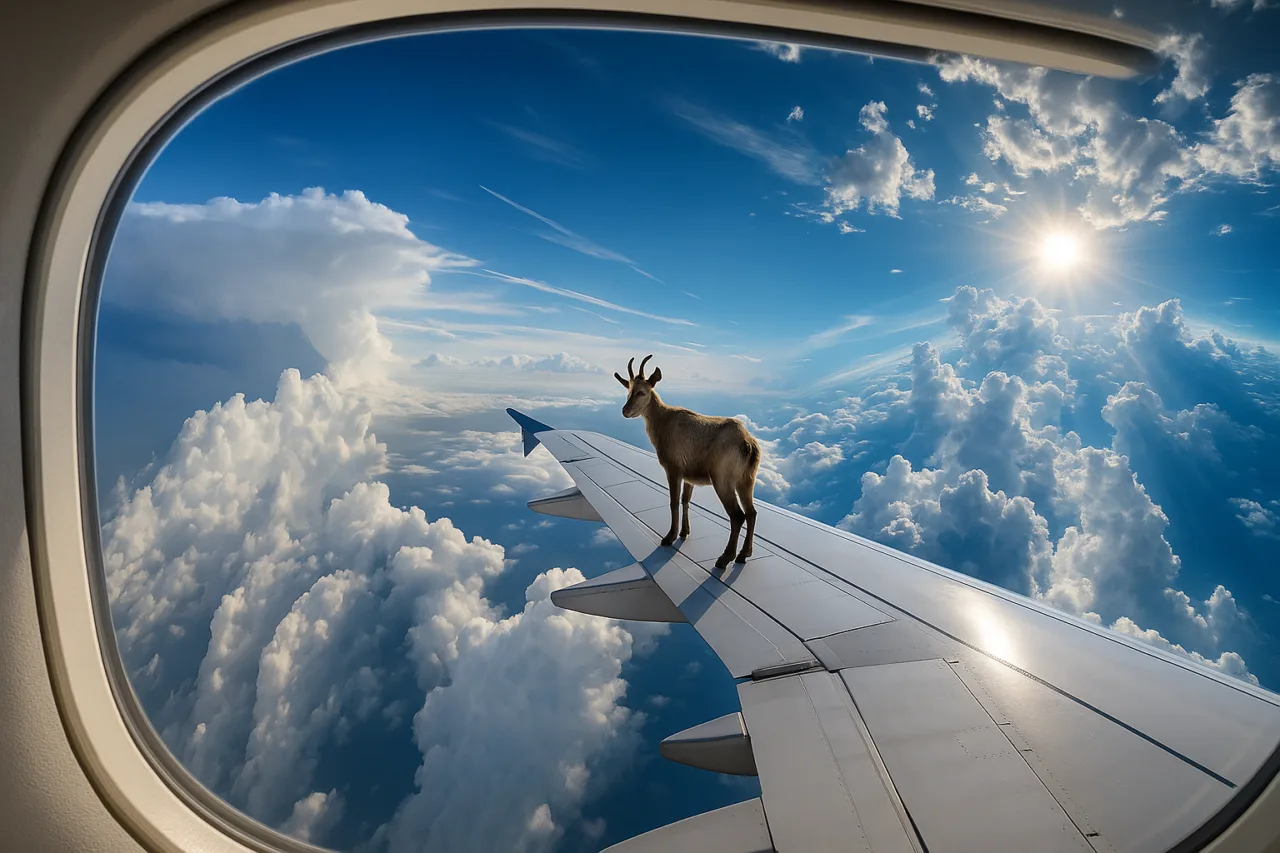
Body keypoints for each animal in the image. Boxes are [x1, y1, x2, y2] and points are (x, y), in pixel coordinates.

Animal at [615, 354, 762, 569]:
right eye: (628, 391)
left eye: (642, 392)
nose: (625, 411)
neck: (663, 422)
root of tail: (748, 444)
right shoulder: (689, 475)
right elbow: (686, 500)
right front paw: (684, 532)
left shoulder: (673, 468)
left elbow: (673, 501)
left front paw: (669, 537)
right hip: (747, 479)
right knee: (751, 513)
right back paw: (743, 554)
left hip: (723, 480)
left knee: (737, 515)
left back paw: (725, 558)